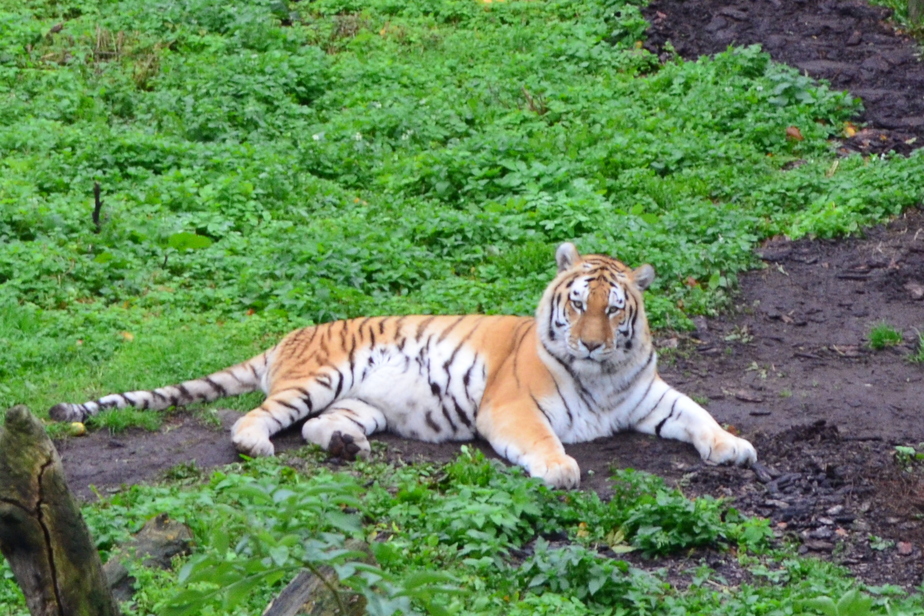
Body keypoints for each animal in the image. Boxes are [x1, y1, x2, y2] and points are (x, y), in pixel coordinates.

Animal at [50, 243, 756, 488]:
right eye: (578, 304)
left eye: (614, 311)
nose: (587, 344)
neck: (603, 378)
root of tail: (287, 335)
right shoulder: (510, 407)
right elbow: (543, 440)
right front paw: (560, 468)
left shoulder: (651, 396)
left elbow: (699, 413)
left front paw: (734, 447)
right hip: (319, 378)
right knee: (253, 420)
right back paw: (261, 448)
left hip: (357, 400)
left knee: (318, 426)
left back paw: (347, 446)